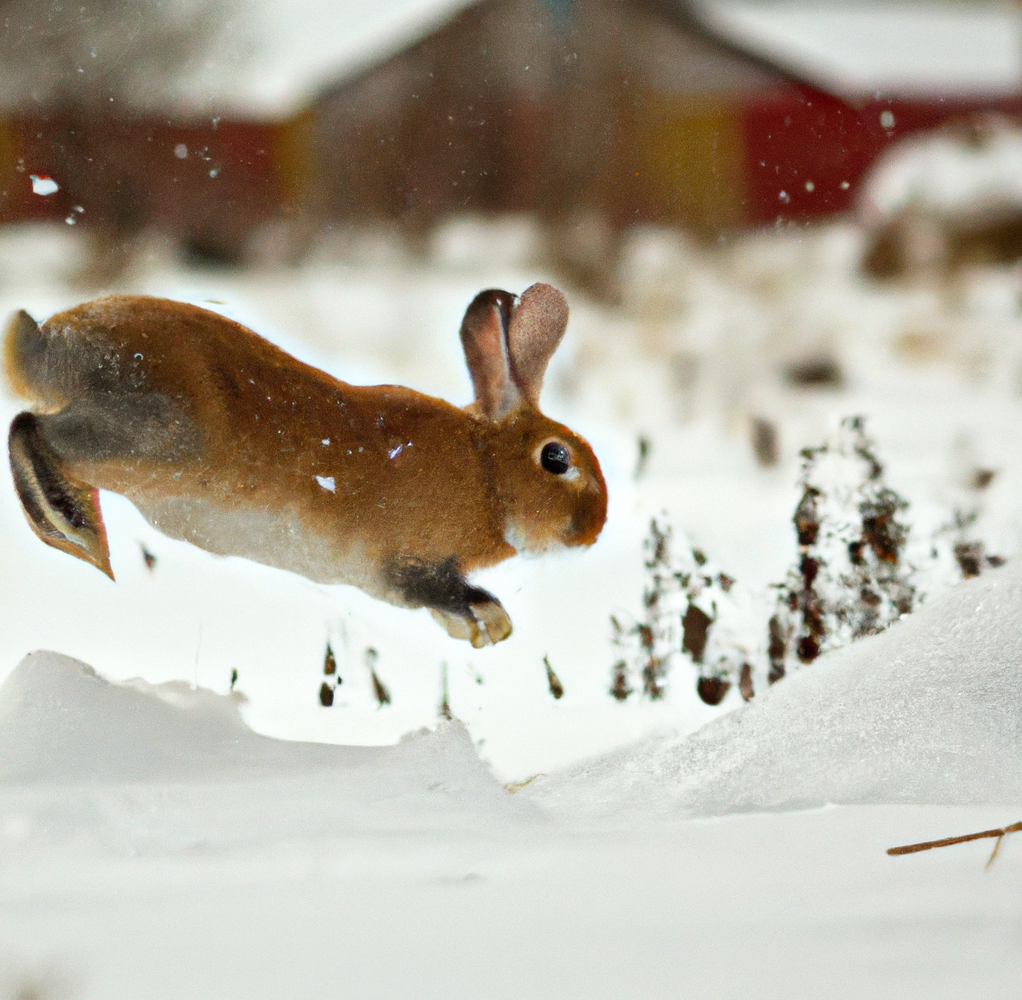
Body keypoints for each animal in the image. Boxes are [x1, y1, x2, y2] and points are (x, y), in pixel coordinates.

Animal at [3, 280, 605, 646]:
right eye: (556, 458)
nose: (592, 532)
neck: (487, 471)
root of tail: (49, 346)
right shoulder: (403, 566)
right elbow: (447, 591)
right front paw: (493, 623)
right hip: (150, 439)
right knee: (30, 431)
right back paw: (73, 528)